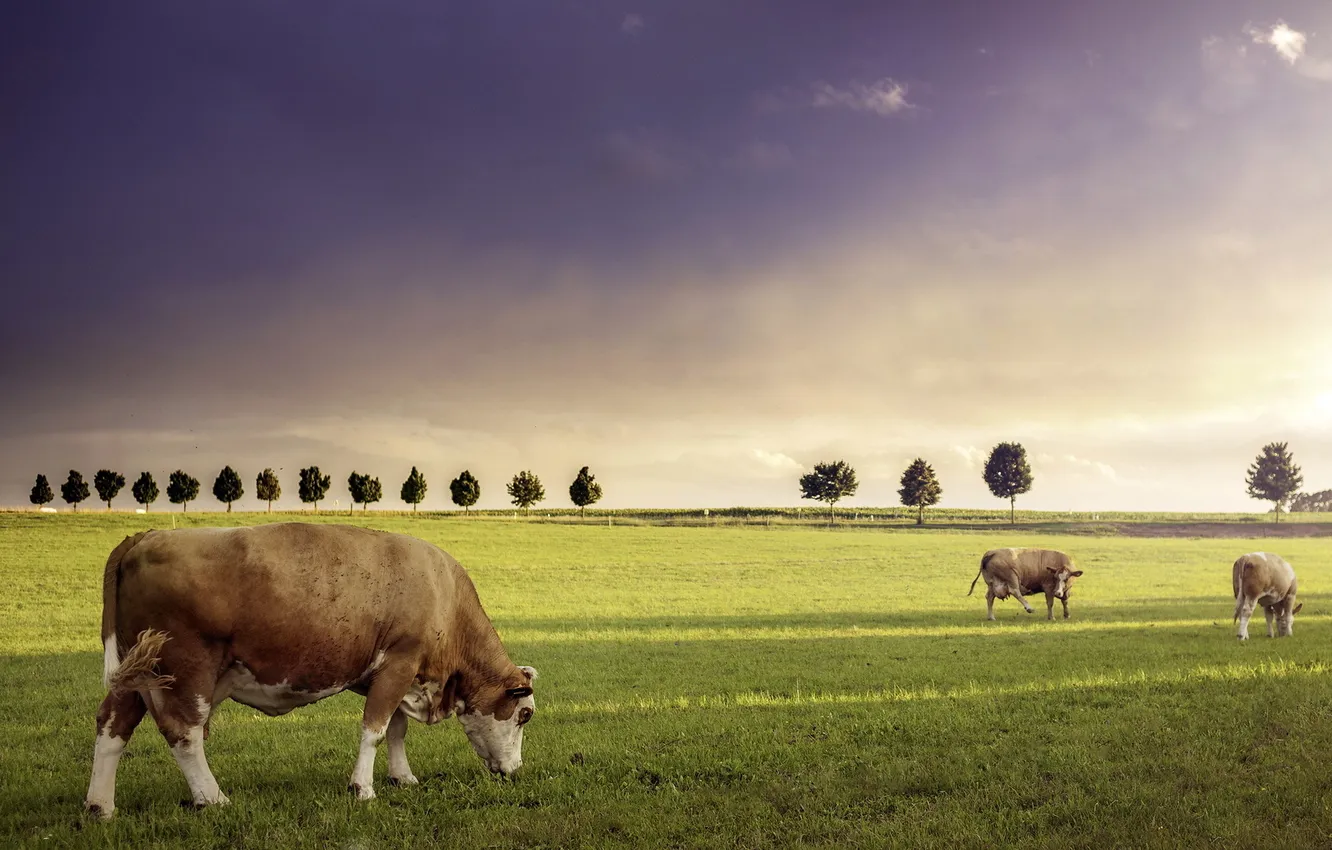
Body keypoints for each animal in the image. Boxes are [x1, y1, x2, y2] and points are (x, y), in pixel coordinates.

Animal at [85, 523, 538, 819]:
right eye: (524, 715)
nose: (516, 771)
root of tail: (146, 535)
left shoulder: (397, 675)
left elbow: (395, 729)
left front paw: (402, 777)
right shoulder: (400, 662)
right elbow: (375, 729)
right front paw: (363, 788)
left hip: (138, 673)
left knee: (112, 724)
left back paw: (100, 805)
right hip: (186, 669)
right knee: (185, 734)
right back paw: (211, 798)